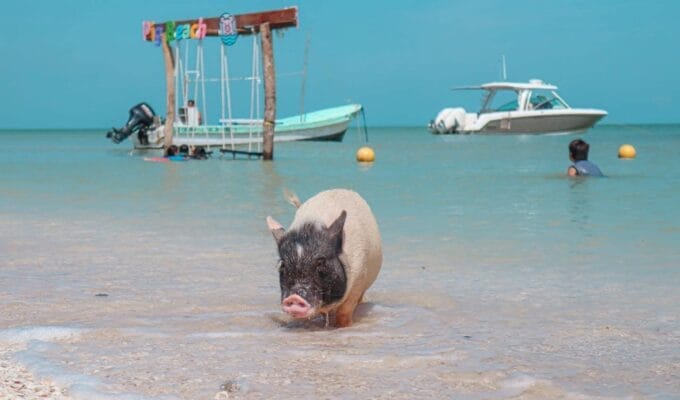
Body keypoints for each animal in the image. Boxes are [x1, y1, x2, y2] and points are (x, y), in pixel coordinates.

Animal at [266, 189, 382, 328]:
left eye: (321, 262)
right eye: (283, 265)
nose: (294, 298)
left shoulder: (358, 282)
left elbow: (344, 312)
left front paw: (342, 326)